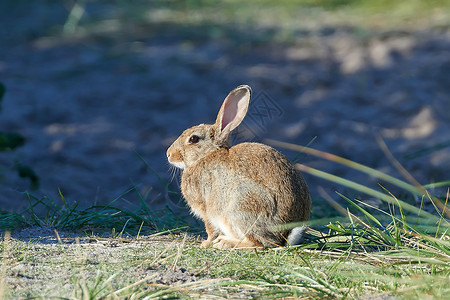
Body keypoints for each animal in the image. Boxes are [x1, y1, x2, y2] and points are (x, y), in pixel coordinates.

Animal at [167, 84, 312, 248]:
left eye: (193, 139)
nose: (169, 154)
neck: (206, 155)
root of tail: (286, 234)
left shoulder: (206, 206)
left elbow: (210, 228)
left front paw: (206, 243)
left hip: (240, 203)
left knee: (259, 243)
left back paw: (224, 242)